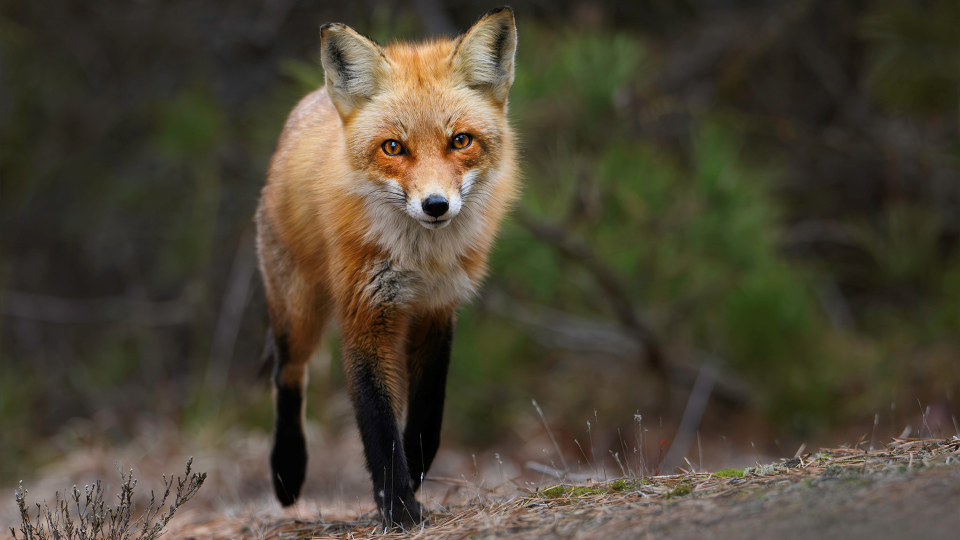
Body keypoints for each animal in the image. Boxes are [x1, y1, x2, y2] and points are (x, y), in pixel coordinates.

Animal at [255, 6, 519, 528]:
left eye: (461, 141)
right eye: (393, 148)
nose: (435, 205)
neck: (421, 260)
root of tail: (311, 101)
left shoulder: (438, 310)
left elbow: (427, 413)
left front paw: (411, 477)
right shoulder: (365, 313)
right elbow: (377, 421)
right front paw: (397, 505)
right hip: (299, 311)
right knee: (287, 373)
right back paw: (287, 470)